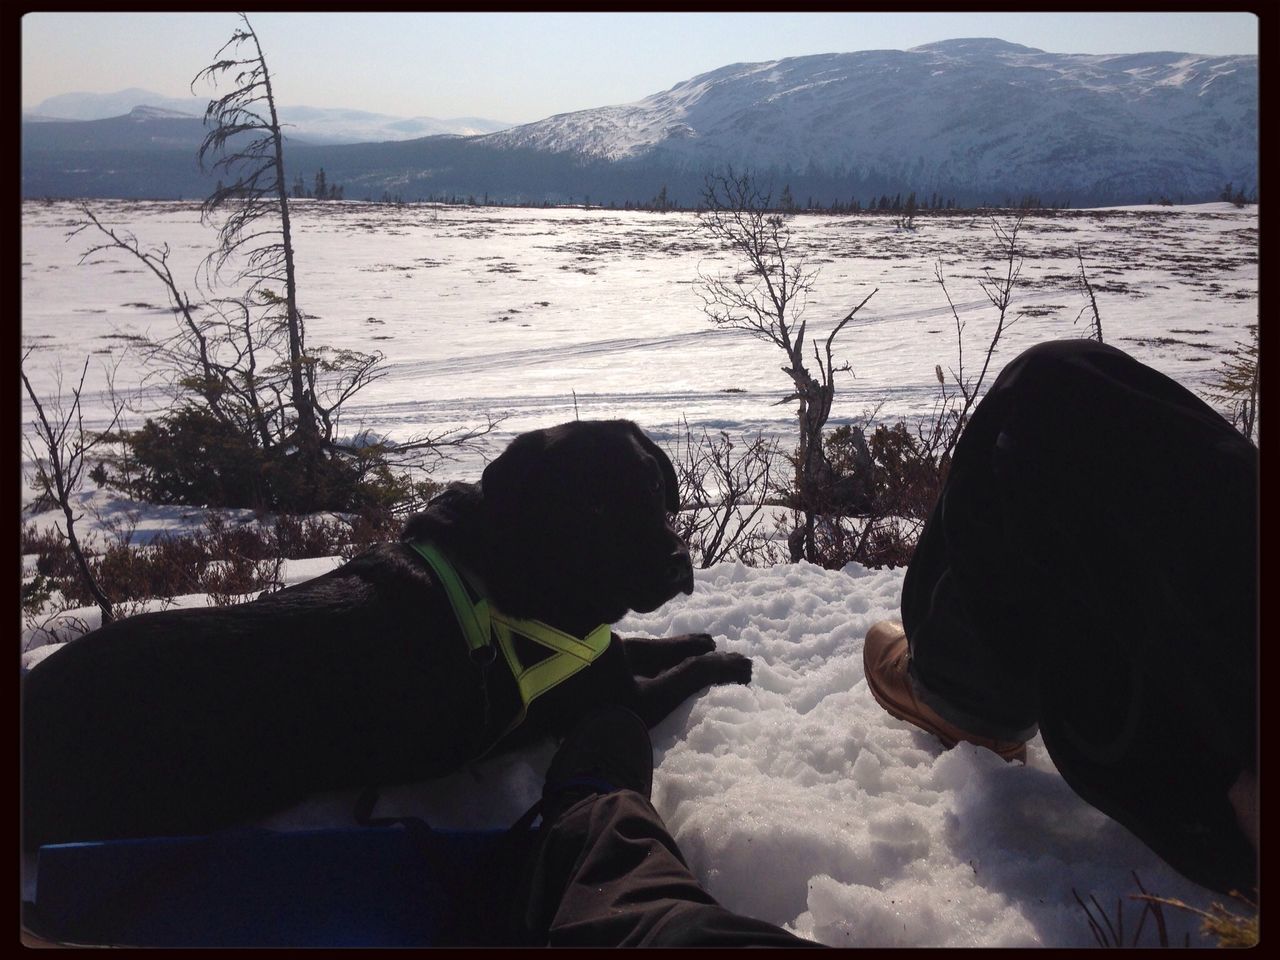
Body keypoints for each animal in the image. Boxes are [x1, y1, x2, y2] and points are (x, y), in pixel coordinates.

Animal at [20, 419, 747, 849]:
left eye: (654, 486)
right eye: (594, 506)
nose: (678, 563)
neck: (517, 567)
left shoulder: (603, 657)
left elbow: (648, 645)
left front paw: (699, 638)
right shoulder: (611, 697)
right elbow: (674, 673)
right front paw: (729, 663)